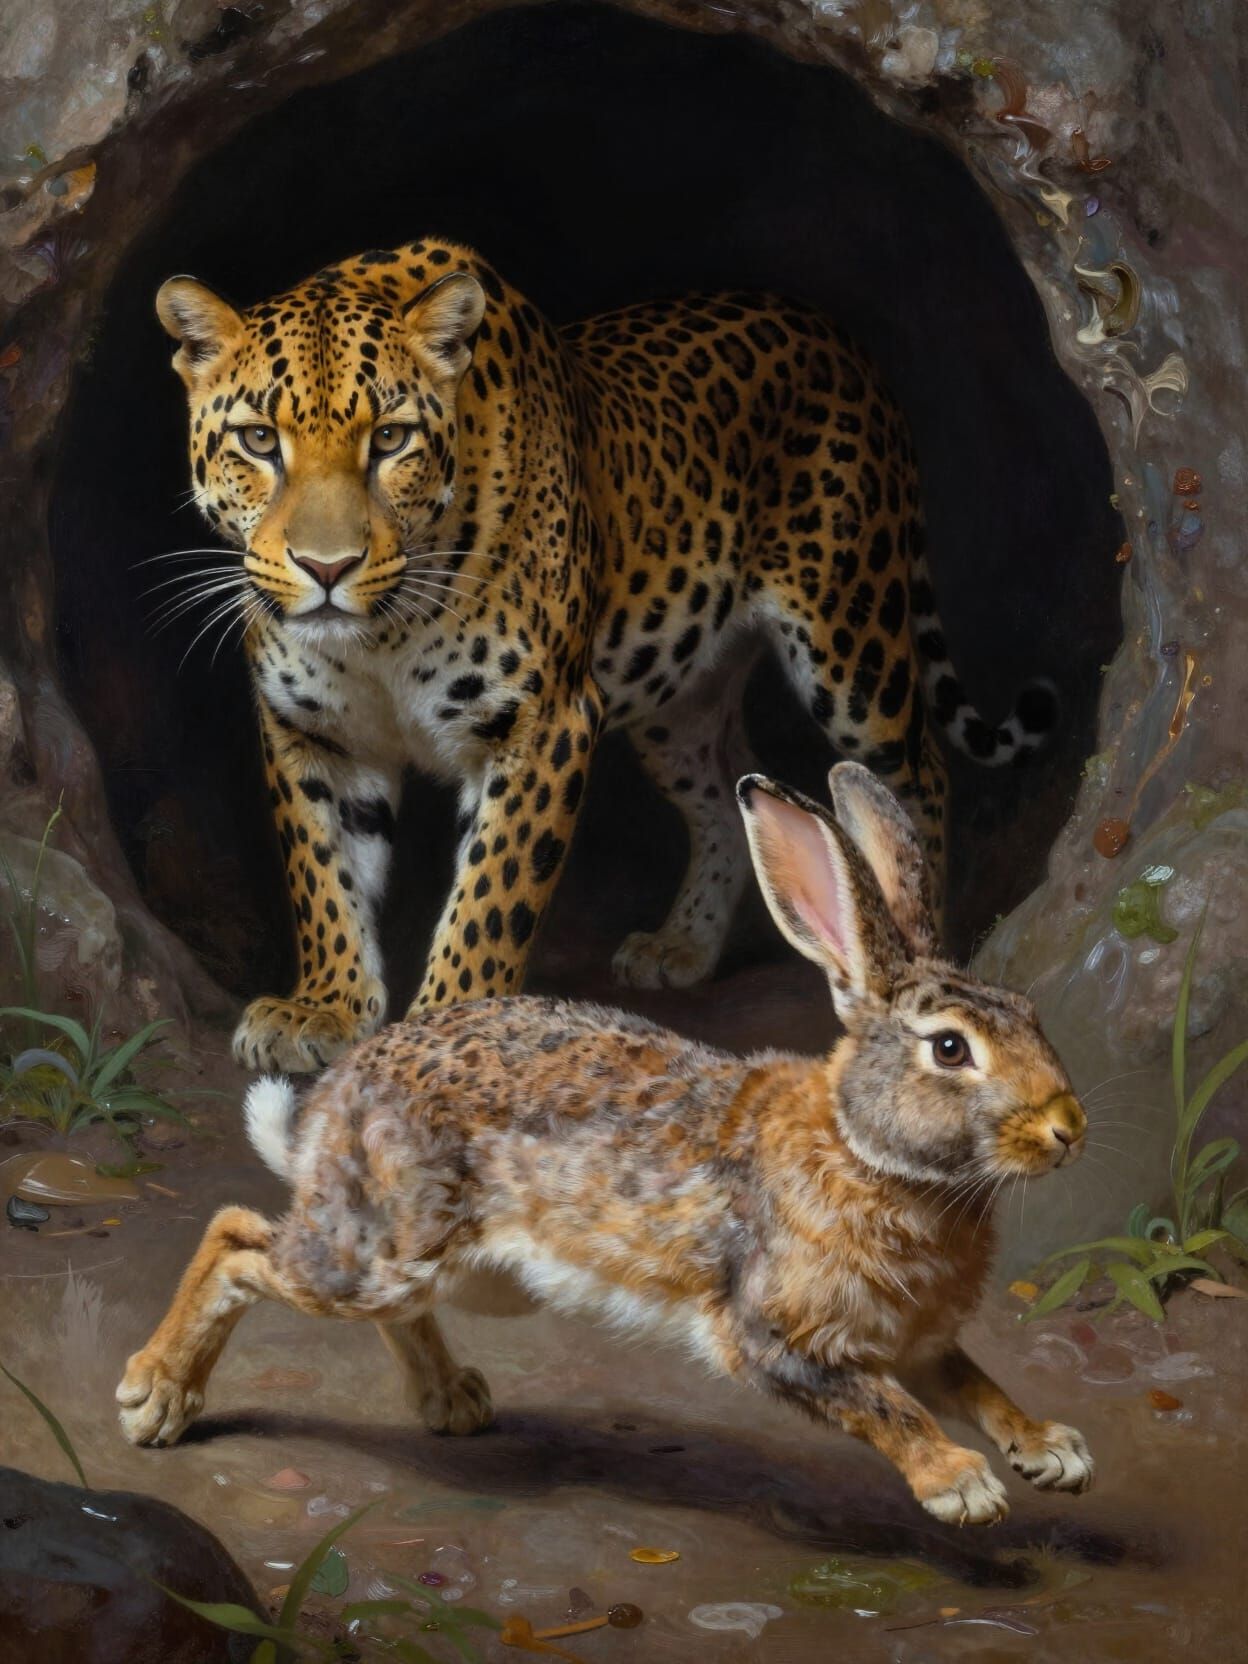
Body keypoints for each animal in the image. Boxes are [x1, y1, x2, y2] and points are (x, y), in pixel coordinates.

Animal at [117, 761, 1093, 1525]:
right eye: (951, 1049)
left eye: (1031, 1015)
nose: (1067, 1129)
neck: (867, 1149)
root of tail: (333, 1104)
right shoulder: (779, 1335)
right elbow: (886, 1407)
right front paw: (960, 1486)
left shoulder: (914, 1340)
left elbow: (973, 1385)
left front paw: (1051, 1451)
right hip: (376, 1254)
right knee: (239, 1240)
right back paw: (154, 1396)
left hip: (464, 1274)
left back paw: (452, 1401)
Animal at [156, 237, 1053, 1073]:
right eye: (259, 441)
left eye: (391, 439)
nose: (328, 567)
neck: (381, 636)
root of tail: (836, 334)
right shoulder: (311, 730)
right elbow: (323, 872)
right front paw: (325, 1006)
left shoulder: (543, 724)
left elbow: (489, 901)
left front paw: (446, 1023)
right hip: (674, 689)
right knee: (729, 788)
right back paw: (682, 944)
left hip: (853, 641)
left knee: (915, 778)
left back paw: (916, 961)